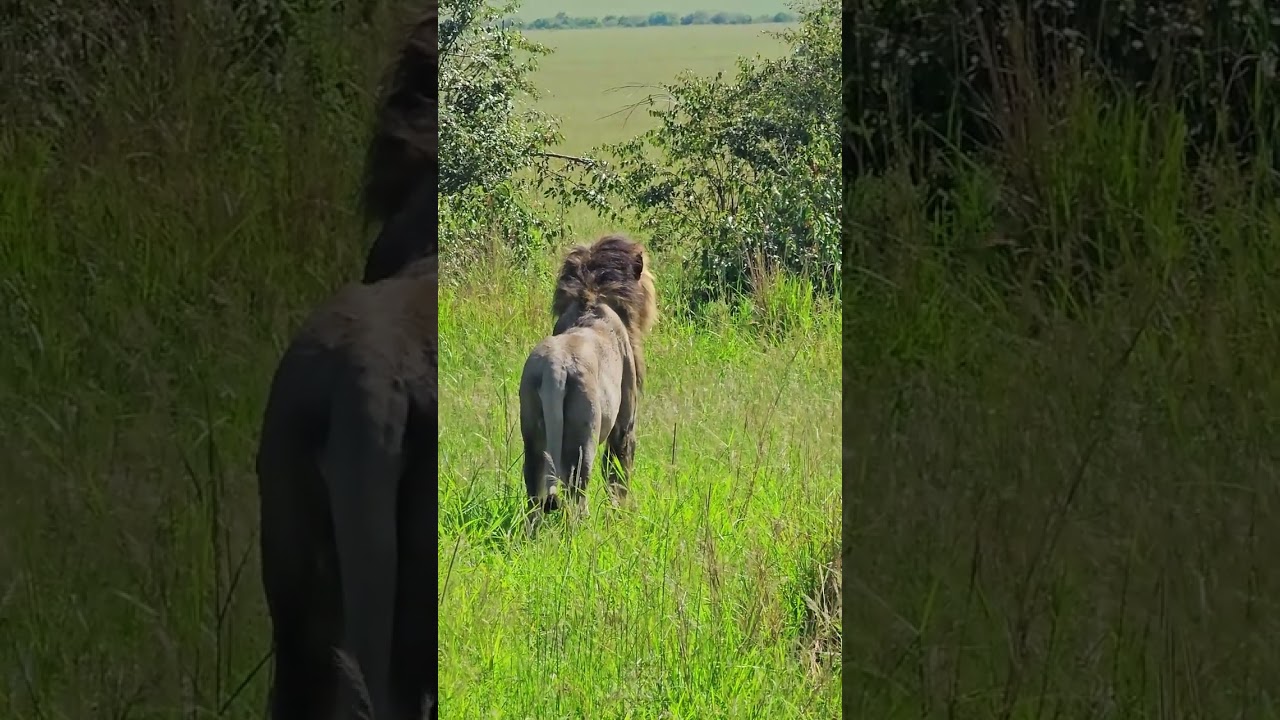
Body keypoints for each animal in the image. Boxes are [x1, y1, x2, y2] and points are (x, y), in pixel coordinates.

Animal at [518, 235, 658, 525]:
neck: (593, 299)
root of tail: (555, 368)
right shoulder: (625, 421)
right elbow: (618, 472)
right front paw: (620, 516)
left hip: (532, 434)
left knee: (534, 495)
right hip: (583, 440)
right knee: (577, 498)